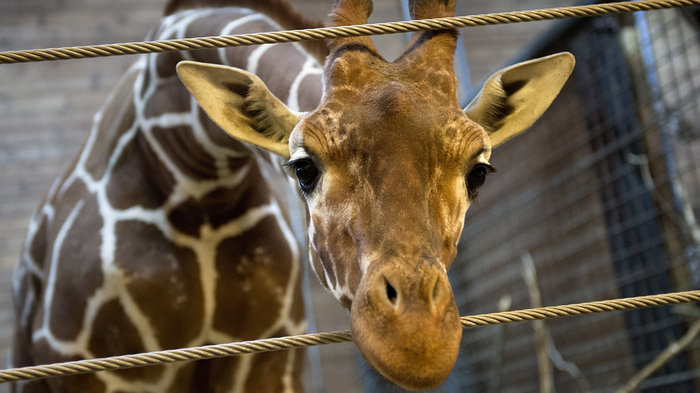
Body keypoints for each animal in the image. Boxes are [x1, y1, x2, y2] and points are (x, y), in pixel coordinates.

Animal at [10, 0, 576, 392]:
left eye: (478, 172)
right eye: (304, 168)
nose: (417, 342)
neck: (194, 178)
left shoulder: (268, 361)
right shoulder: (90, 368)